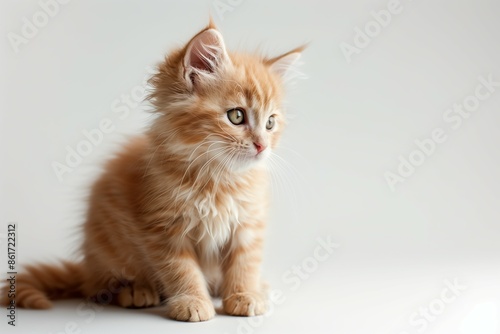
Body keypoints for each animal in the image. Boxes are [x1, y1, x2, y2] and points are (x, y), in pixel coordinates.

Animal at [1, 20, 302, 320]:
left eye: (270, 123)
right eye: (236, 116)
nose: (262, 145)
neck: (218, 179)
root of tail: (88, 267)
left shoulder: (248, 223)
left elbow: (245, 262)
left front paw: (244, 294)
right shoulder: (163, 229)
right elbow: (181, 270)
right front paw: (192, 301)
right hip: (108, 246)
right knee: (100, 287)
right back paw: (136, 291)